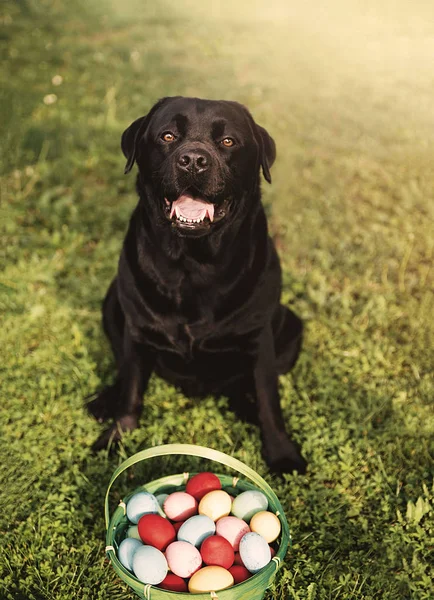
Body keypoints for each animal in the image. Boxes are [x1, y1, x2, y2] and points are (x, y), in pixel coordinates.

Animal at [87, 97, 306, 474]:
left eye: (228, 141)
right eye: (168, 136)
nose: (193, 160)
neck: (193, 264)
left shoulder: (259, 337)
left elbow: (269, 398)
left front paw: (281, 453)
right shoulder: (138, 330)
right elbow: (131, 389)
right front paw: (117, 439)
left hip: (291, 326)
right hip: (112, 301)